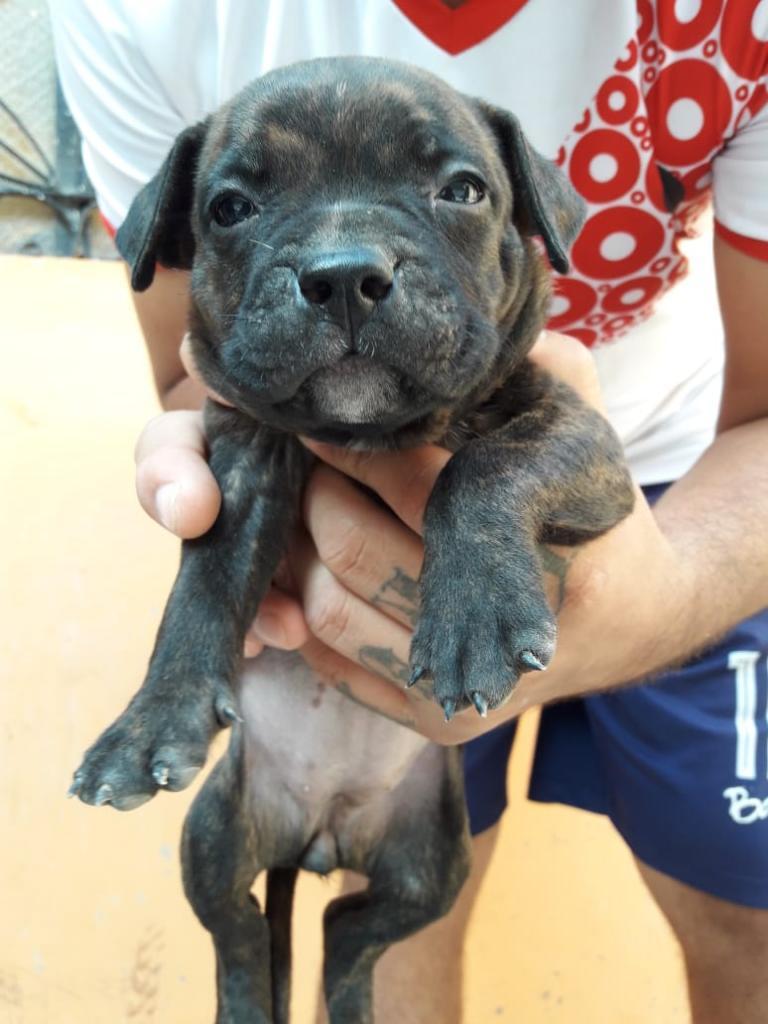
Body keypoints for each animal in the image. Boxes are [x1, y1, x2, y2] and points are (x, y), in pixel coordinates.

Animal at [70, 58, 638, 1024]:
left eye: (463, 191)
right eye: (230, 209)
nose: (342, 275)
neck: (370, 433)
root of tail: (323, 833)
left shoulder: (581, 437)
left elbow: (488, 463)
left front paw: (472, 617)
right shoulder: (240, 463)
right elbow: (199, 591)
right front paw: (149, 723)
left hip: (433, 861)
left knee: (350, 933)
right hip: (216, 834)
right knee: (241, 935)